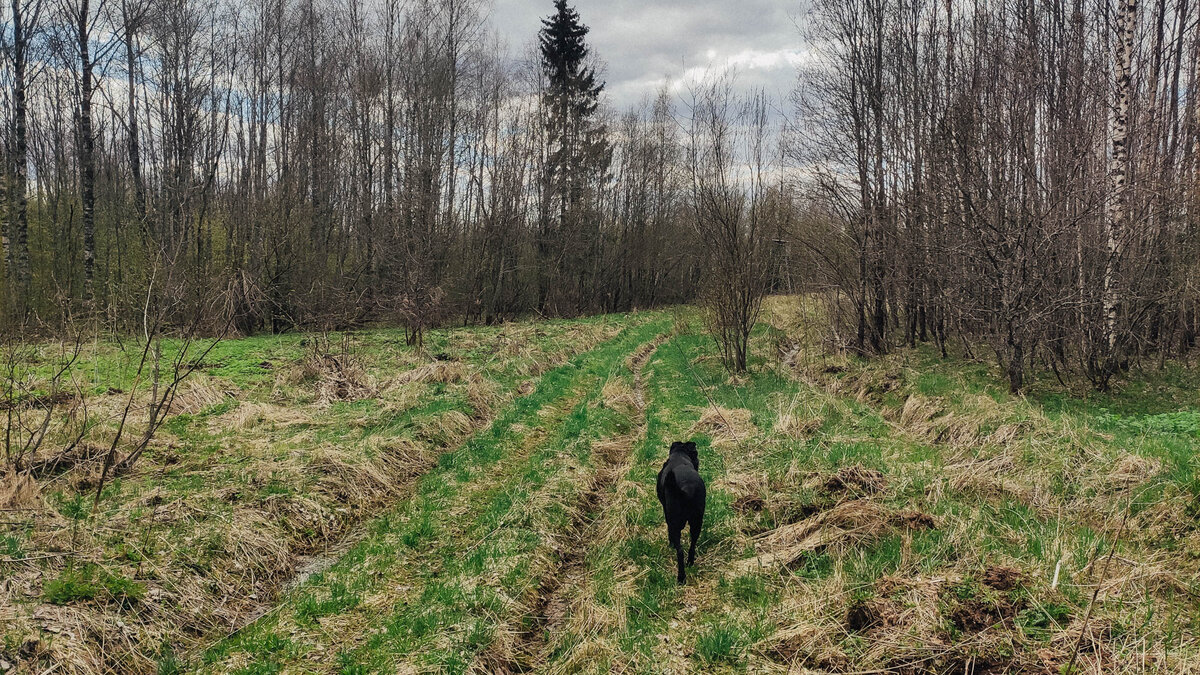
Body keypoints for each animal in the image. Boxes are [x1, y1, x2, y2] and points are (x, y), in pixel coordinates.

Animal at [657, 439, 700, 581]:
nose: (698, 461)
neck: (680, 455)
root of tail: (687, 489)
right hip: (697, 520)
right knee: (693, 542)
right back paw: (690, 562)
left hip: (675, 521)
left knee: (680, 551)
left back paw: (681, 577)